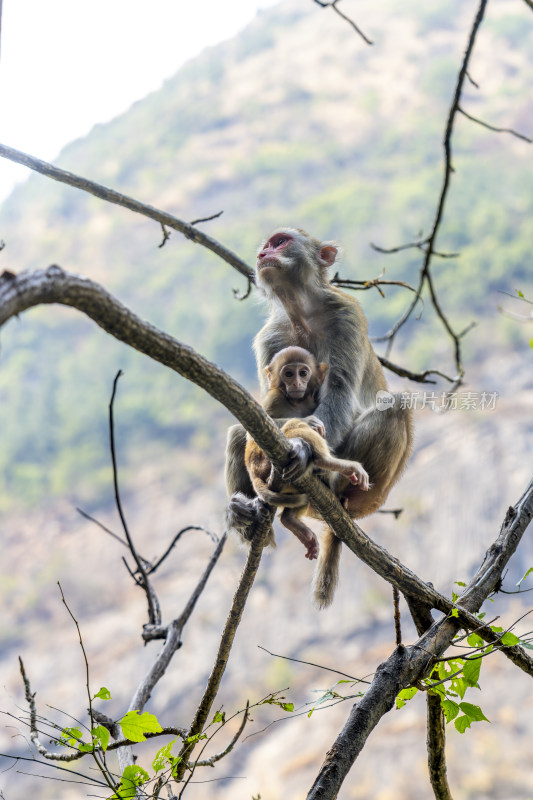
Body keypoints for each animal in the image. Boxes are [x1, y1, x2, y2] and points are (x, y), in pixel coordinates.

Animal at [244, 346, 366, 560]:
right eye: (288, 373)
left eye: (303, 373)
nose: (296, 383)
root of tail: (253, 471)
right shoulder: (274, 396)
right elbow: (252, 431)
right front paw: (309, 423)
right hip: (262, 461)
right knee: (294, 426)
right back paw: (332, 463)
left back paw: (290, 519)